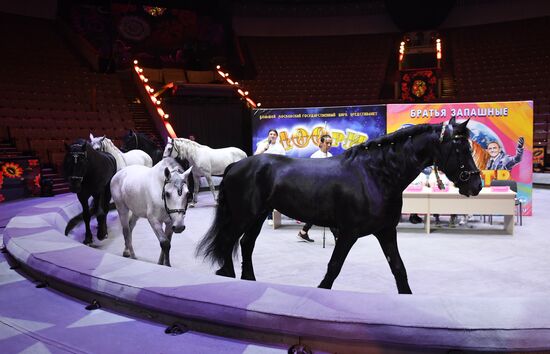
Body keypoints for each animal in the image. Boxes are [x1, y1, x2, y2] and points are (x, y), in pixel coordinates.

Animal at [197, 118, 484, 294]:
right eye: (460, 148)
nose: (477, 184)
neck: (375, 174)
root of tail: (236, 165)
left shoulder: (386, 232)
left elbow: (399, 270)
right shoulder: (347, 234)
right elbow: (333, 269)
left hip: (256, 217)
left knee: (245, 244)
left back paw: (249, 281)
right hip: (243, 216)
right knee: (228, 242)